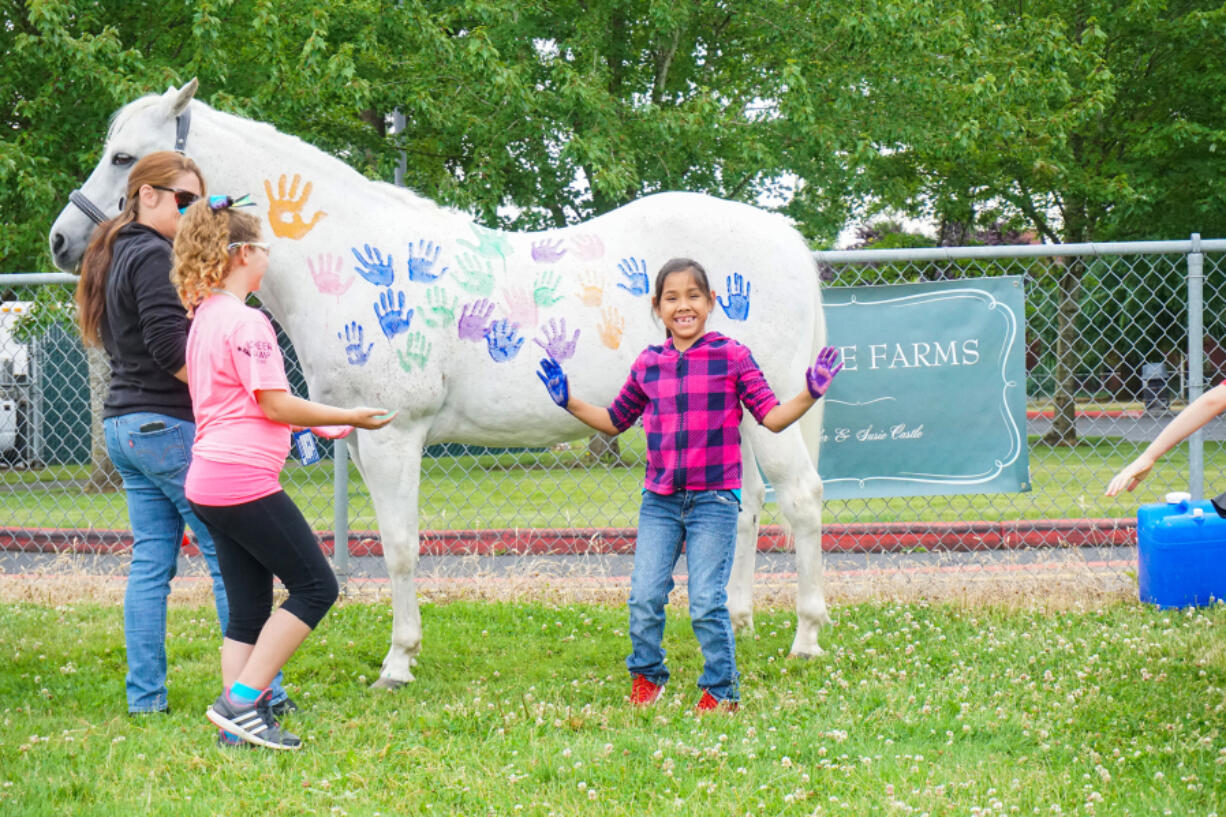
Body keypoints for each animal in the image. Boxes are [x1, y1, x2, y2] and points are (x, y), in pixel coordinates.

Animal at [50, 80, 833, 682]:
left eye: (124, 157)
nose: (61, 240)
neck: (344, 254)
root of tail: (783, 236)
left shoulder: (394, 435)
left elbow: (400, 545)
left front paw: (398, 661)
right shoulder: (360, 438)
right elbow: (389, 540)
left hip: (770, 416)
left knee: (799, 502)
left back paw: (806, 637)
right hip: (738, 413)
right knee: (747, 506)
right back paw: (738, 618)